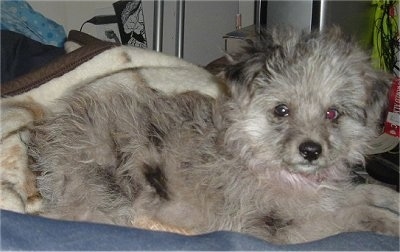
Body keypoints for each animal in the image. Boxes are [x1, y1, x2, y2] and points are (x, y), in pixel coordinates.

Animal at [26, 27, 398, 244]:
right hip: (104, 192)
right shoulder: (279, 226)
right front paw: (389, 222)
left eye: (333, 114)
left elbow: (360, 193)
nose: (311, 150)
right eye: (281, 110)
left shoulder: (320, 197)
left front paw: (389, 198)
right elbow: (351, 216)